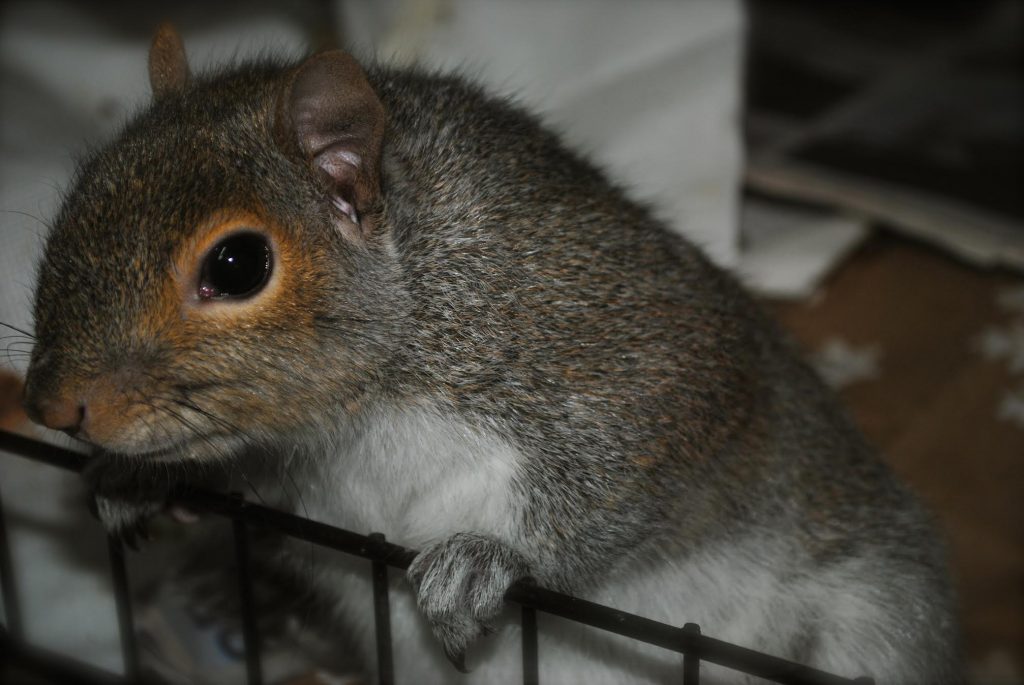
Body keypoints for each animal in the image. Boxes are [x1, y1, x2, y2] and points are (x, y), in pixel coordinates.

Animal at [21, 25, 961, 684]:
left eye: (237, 264)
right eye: (79, 193)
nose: (52, 405)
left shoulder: (629, 347)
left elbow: (637, 472)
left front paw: (491, 560)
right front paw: (134, 481)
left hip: (876, 618)